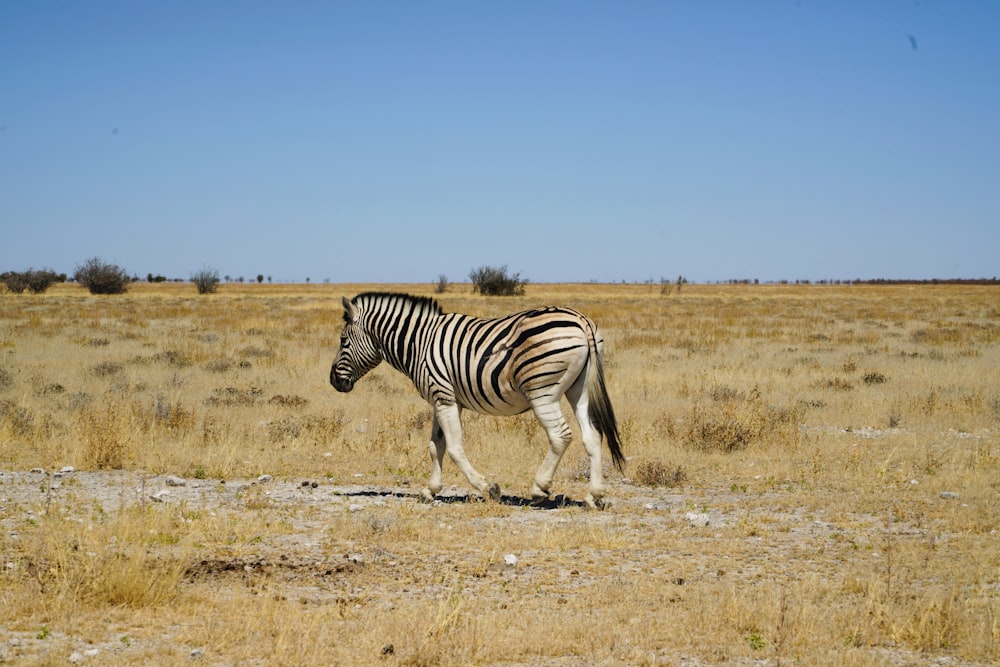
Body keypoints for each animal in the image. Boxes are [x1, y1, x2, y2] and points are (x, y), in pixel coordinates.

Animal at [332, 294, 620, 512]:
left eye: (343, 341)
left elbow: (454, 448)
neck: (418, 343)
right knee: (592, 435)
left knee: (560, 435)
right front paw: (430, 490)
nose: (333, 381)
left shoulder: (443, 396)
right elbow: (435, 446)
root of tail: (581, 320)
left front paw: (488, 488)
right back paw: (594, 495)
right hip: (578, 389)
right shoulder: (443, 399)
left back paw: (539, 489)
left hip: (542, 390)